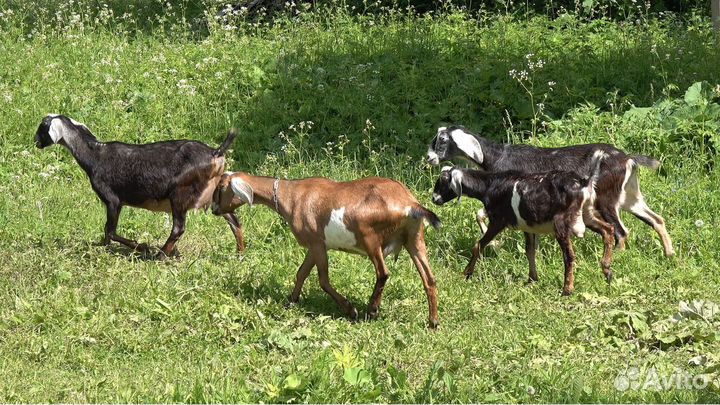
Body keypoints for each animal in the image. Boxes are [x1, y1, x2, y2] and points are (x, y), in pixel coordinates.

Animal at [34, 114, 245, 257]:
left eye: (42, 127)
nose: (35, 142)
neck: (95, 155)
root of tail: (215, 152)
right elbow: (108, 232)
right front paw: (104, 248)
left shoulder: (112, 199)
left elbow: (110, 230)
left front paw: (141, 246)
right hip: (214, 195)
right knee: (234, 221)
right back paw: (239, 254)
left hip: (179, 194)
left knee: (178, 228)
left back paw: (160, 255)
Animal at [211, 172, 441, 328]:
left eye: (221, 188)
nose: (214, 210)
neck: (291, 196)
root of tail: (409, 203)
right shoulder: (313, 246)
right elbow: (301, 273)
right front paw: (291, 301)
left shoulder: (317, 244)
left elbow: (322, 280)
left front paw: (350, 309)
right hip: (415, 239)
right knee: (429, 279)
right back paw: (433, 321)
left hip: (370, 238)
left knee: (383, 273)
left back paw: (371, 311)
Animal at [427, 125, 674, 257]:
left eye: (442, 141)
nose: (429, 158)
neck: (498, 156)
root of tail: (627, 158)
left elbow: (480, 214)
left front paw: (496, 243)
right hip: (629, 197)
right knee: (656, 219)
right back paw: (670, 253)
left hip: (606, 199)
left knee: (622, 231)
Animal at [431, 154, 614, 296]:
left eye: (442, 181)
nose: (434, 199)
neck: (489, 185)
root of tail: (584, 182)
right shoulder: (528, 227)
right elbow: (529, 251)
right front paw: (532, 279)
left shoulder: (498, 221)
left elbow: (478, 245)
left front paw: (466, 273)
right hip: (588, 214)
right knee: (608, 230)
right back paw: (607, 271)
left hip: (561, 223)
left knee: (569, 255)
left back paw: (567, 290)